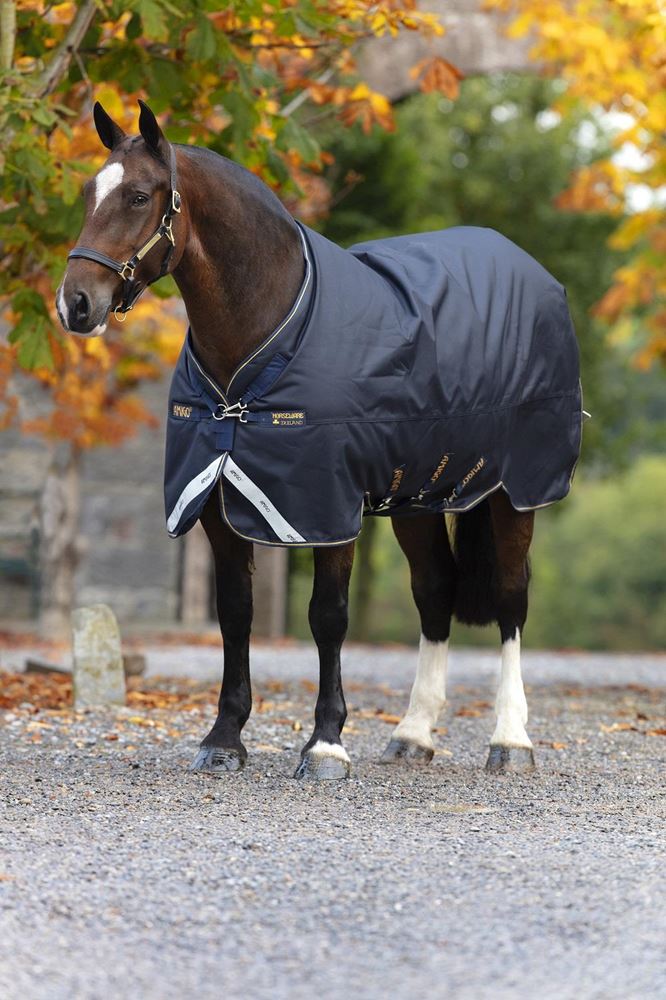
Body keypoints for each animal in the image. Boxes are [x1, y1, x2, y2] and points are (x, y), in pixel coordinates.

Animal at [57, 101, 582, 780]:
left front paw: (326, 743)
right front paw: (224, 738)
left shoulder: (327, 507)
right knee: (435, 591)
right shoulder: (218, 507)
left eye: (139, 196)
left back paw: (511, 740)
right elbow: (236, 614)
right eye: (88, 192)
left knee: (512, 600)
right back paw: (414, 733)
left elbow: (328, 616)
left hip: (514, 491)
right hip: (418, 495)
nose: (75, 304)